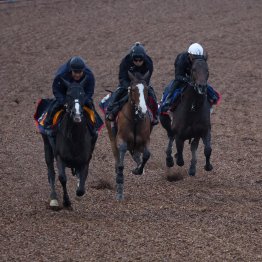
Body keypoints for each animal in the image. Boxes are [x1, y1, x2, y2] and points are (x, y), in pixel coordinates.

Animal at [42, 76, 96, 209]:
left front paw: (78, 187)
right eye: (68, 95)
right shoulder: (60, 157)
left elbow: (81, 188)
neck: (75, 139)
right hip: (47, 146)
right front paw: (66, 201)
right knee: (51, 172)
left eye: (82, 94)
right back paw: (54, 199)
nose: (77, 114)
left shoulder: (85, 160)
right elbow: (62, 178)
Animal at [105, 70, 151, 200]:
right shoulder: (121, 140)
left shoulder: (145, 140)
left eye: (146, 89)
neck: (135, 119)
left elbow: (146, 155)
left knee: (137, 154)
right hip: (112, 138)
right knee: (117, 161)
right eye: (133, 89)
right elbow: (121, 164)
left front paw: (137, 170)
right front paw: (120, 190)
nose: (142, 110)